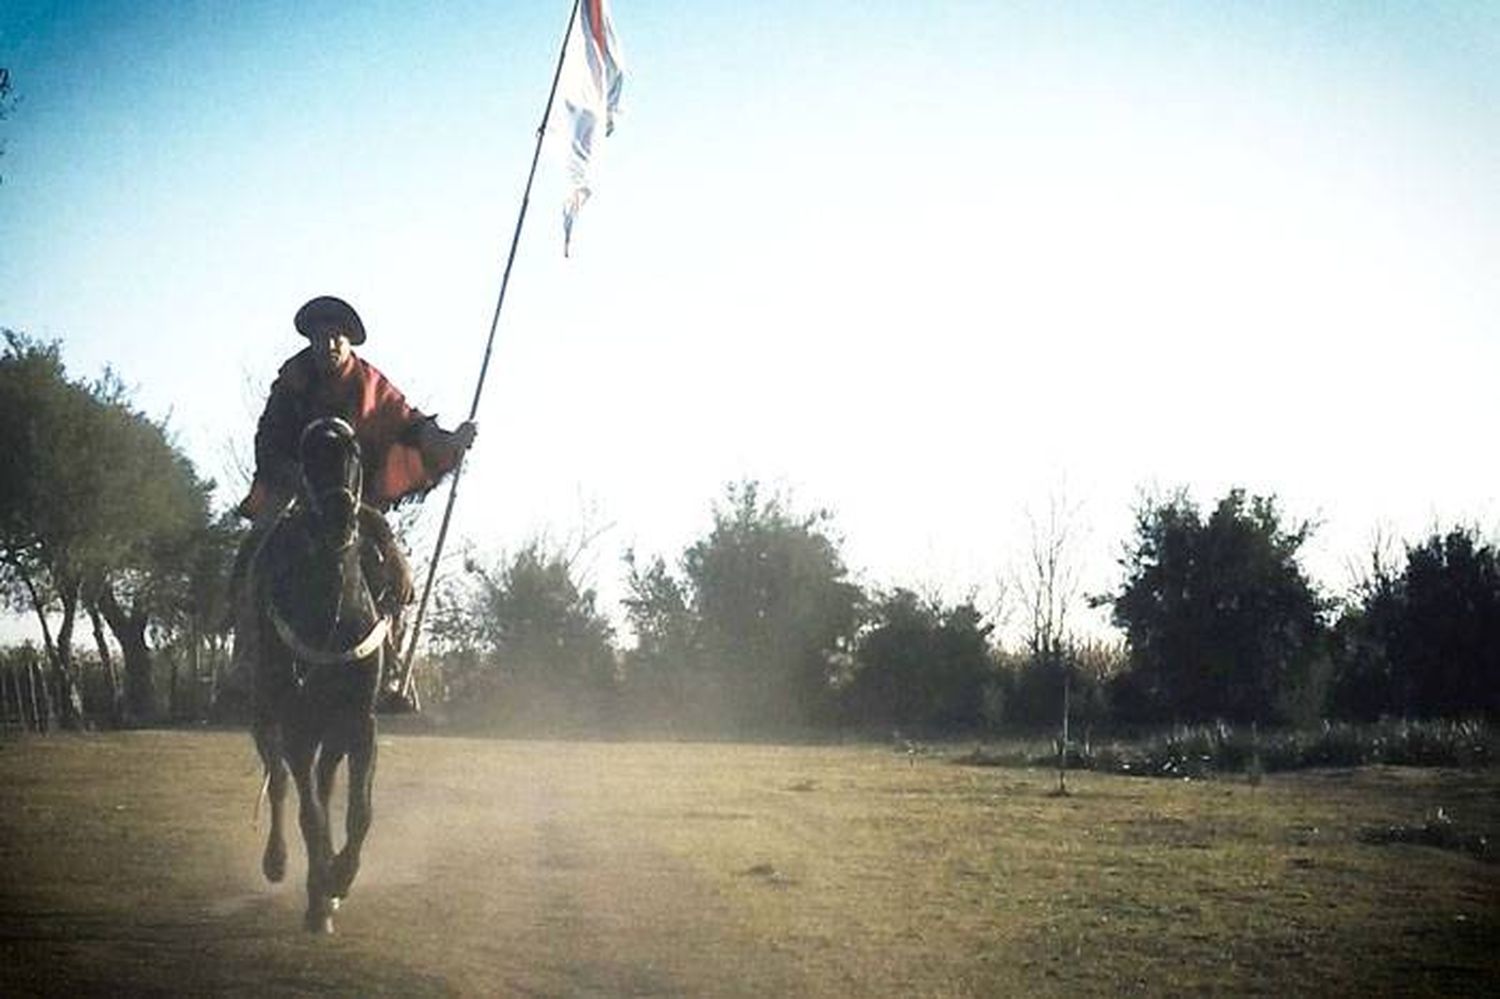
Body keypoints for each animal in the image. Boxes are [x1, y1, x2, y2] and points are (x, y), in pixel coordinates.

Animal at [250, 417, 387, 930]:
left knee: (325, 789)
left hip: (331, 735)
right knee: (282, 784)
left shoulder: (361, 723)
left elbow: (360, 812)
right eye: (308, 458)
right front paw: (319, 894)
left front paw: (340, 879)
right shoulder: (295, 727)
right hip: (266, 720)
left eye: (355, 454)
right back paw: (281, 864)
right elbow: (307, 812)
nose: (338, 518)